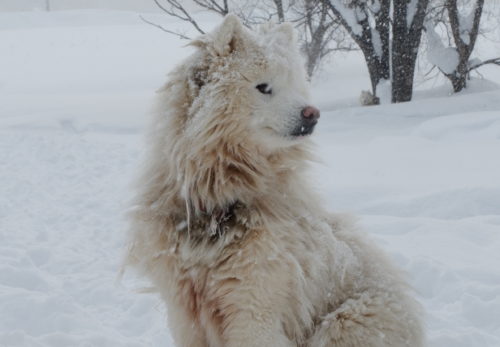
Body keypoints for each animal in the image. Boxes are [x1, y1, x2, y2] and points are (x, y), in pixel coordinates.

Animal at [126, 14, 426, 347]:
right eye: (264, 87)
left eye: (296, 86)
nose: (312, 114)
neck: (218, 198)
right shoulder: (183, 309)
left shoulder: (254, 306)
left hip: (343, 323)